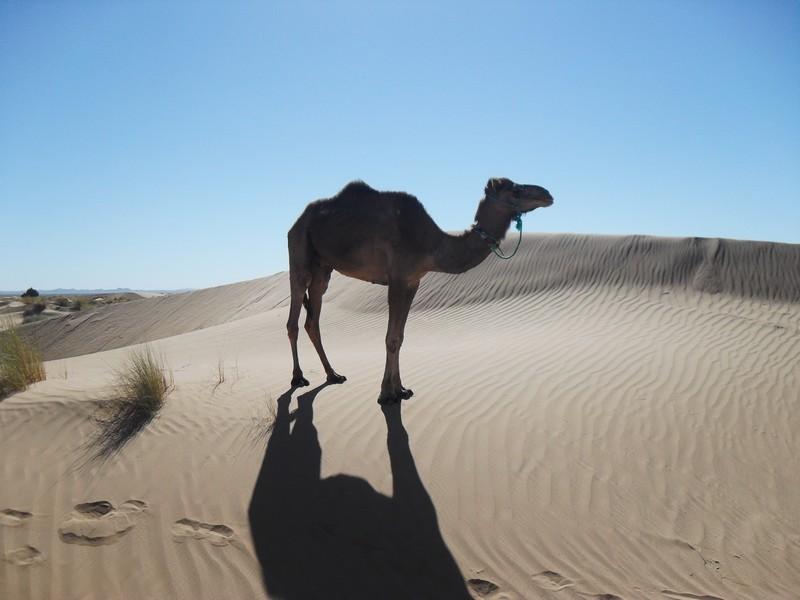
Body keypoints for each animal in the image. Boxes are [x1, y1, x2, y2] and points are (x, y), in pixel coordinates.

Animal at [288, 177, 556, 404]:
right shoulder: (397, 279)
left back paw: (333, 374)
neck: (432, 244)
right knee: (295, 316)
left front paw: (401, 389)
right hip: (299, 251)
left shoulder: (412, 283)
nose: (547, 194)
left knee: (313, 319)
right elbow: (391, 338)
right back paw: (298, 378)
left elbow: (400, 337)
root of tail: (297, 222)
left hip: (323, 267)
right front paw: (386, 394)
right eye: (515, 190)